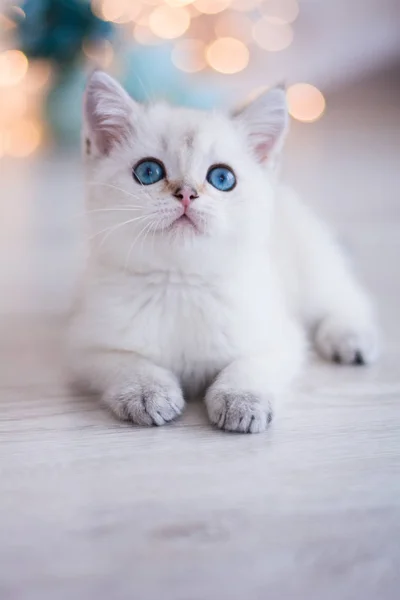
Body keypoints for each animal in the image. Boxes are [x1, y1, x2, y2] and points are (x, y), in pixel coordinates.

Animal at [68, 72, 378, 434]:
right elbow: (126, 362)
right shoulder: (85, 346)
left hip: (313, 262)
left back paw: (351, 338)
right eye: (148, 172)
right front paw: (147, 392)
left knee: (344, 298)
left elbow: (250, 365)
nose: (186, 193)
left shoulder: (280, 337)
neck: (180, 283)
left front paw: (240, 400)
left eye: (221, 177)